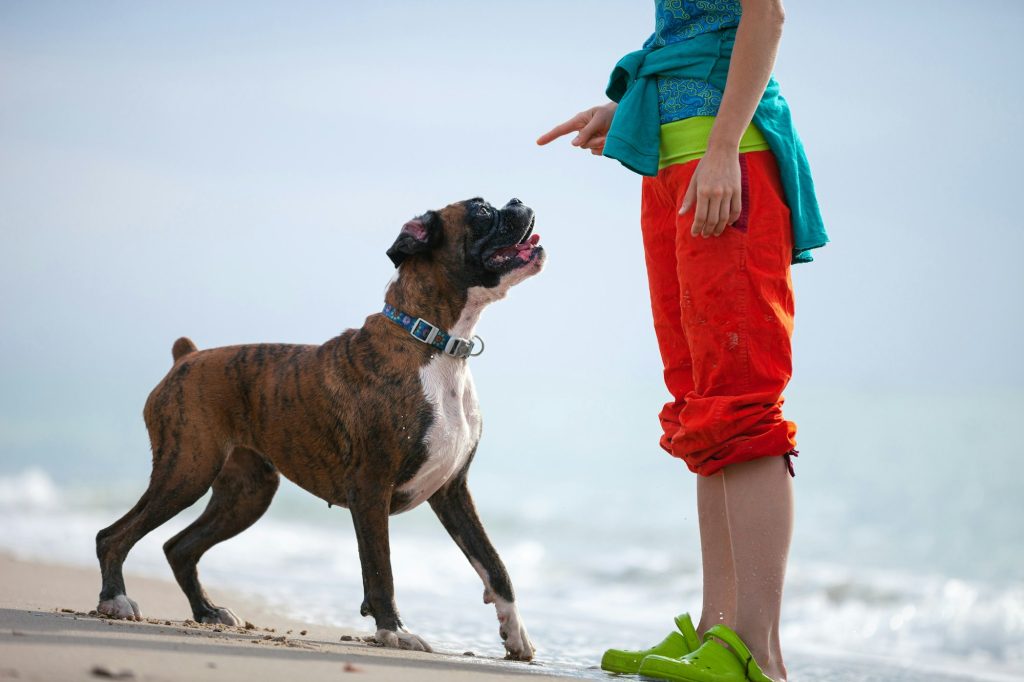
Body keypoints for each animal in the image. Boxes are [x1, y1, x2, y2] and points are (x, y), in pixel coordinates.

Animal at [95, 196, 544, 659]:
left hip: (247, 493)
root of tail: (187, 356)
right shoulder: (371, 489)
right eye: (481, 211)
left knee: (179, 547)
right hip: (187, 470)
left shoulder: (453, 492)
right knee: (113, 535)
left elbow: (495, 565)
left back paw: (207, 611)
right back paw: (116, 600)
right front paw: (393, 631)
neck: (433, 343)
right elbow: (380, 570)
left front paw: (516, 634)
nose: (517, 201)